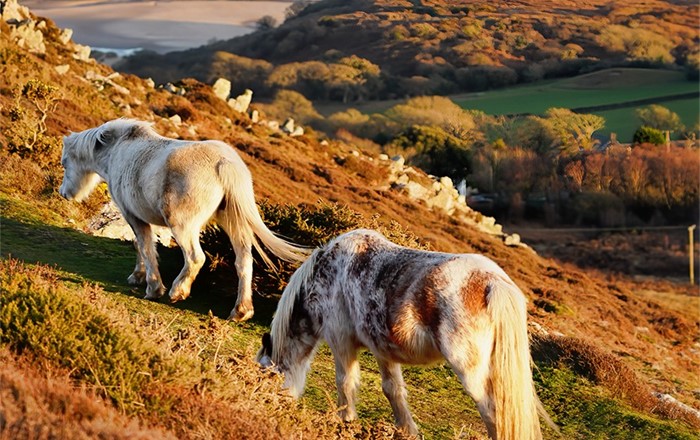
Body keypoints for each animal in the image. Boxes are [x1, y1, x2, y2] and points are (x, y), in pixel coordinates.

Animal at [60, 118, 308, 322]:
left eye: (64, 162)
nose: (64, 193)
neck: (118, 151)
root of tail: (224, 163)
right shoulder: (142, 218)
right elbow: (142, 246)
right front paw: (138, 277)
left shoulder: (133, 215)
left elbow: (144, 246)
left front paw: (152, 287)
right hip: (233, 223)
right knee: (244, 262)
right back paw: (241, 311)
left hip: (183, 226)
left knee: (196, 258)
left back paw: (177, 291)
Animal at [258, 229, 552, 438]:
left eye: (263, 374)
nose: (267, 405)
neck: (327, 272)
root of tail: (493, 283)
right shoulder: (381, 349)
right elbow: (392, 389)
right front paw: (406, 430)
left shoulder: (340, 340)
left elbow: (345, 381)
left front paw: (345, 421)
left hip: (471, 371)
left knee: (493, 414)